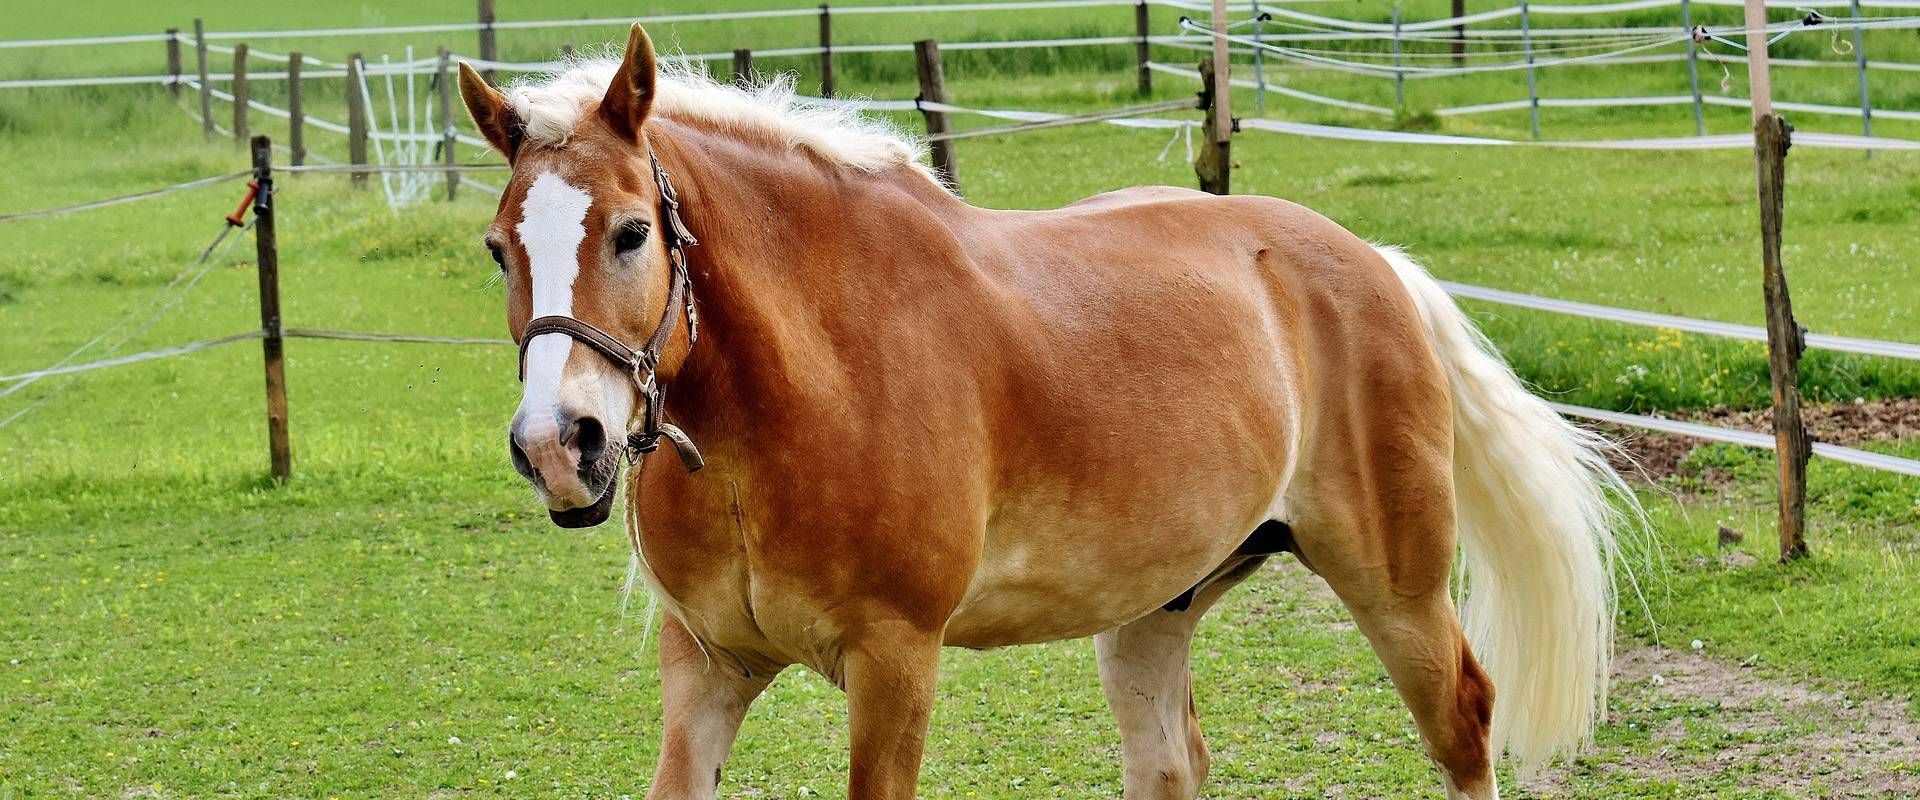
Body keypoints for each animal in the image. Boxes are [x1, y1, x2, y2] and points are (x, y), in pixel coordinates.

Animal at [458, 24, 1630, 800]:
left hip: (1397, 588)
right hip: (1154, 615)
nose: (560, 446)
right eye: (499, 247)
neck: (787, 409)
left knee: (1463, 724)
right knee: (1171, 763)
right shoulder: (706, 664)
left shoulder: (895, 663)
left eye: (631, 232)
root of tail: (1374, 263)